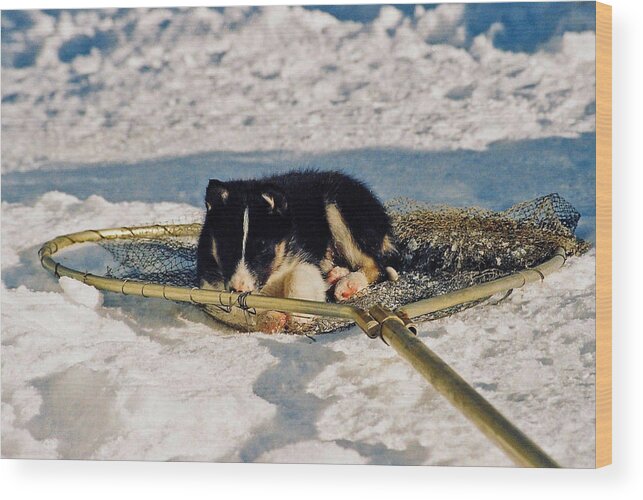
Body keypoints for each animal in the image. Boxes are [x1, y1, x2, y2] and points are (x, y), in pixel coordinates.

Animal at [196, 170, 398, 334]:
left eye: (263, 248)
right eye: (226, 248)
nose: (238, 288)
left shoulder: (305, 259)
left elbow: (298, 276)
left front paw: (299, 315)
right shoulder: (208, 283)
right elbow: (228, 306)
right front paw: (270, 319)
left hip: (339, 209)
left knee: (375, 266)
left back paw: (348, 284)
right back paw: (336, 275)